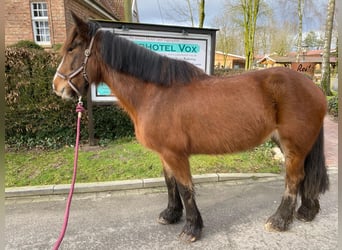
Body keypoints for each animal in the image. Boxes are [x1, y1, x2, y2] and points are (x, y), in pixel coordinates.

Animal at [52, 13, 328, 242]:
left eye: (72, 49)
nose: (57, 87)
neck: (155, 94)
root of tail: (314, 87)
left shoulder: (176, 154)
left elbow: (185, 188)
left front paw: (191, 228)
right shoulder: (165, 154)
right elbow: (170, 183)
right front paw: (171, 214)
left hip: (293, 146)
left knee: (294, 178)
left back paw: (280, 220)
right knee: (305, 176)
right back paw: (306, 211)